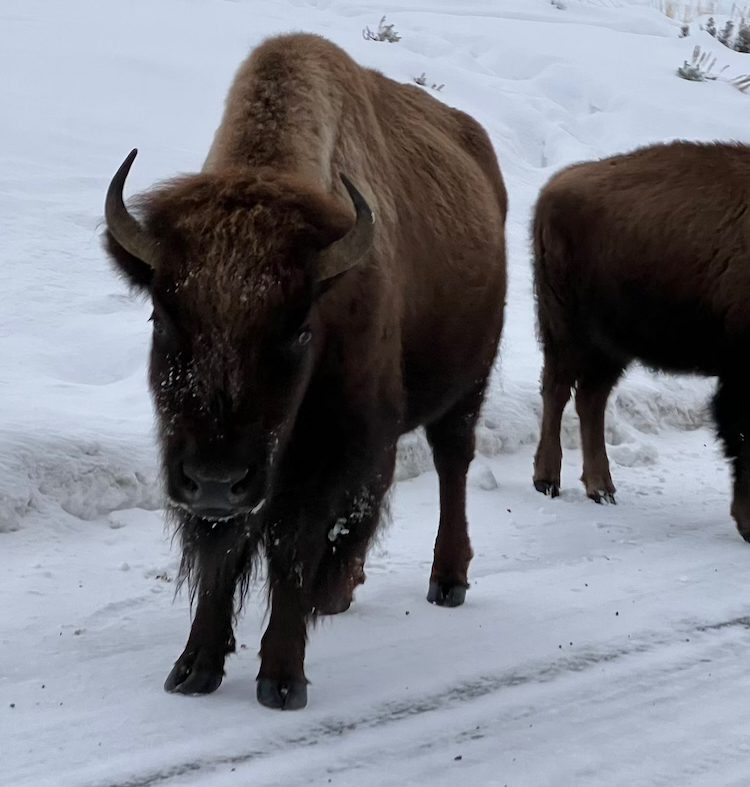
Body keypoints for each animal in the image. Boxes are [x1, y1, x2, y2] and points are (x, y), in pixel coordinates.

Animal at [103, 33, 508, 712]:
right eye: (162, 317)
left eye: (297, 329)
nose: (215, 480)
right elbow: (223, 553)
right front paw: (193, 669)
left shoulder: (323, 450)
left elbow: (292, 547)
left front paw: (281, 680)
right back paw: (341, 591)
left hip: (465, 386)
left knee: (452, 464)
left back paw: (445, 580)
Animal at [532, 139, 750, 540]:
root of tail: (556, 186)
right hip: (568, 332)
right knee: (557, 390)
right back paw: (548, 480)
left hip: (611, 346)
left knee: (590, 399)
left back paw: (601, 488)